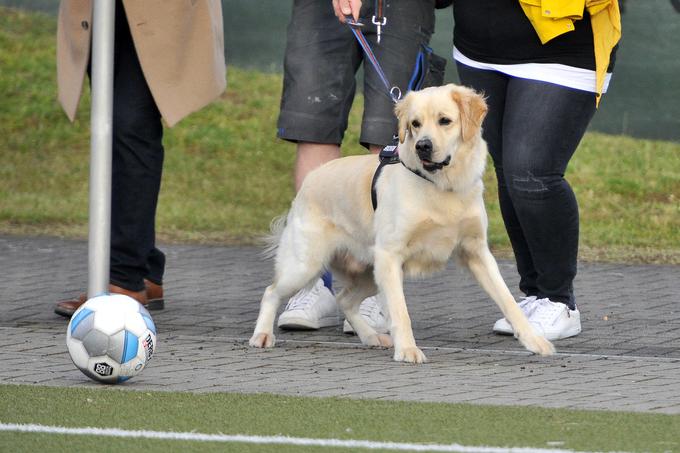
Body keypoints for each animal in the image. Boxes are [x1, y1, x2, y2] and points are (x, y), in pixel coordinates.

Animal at [247, 83, 556, 362]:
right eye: (415, 124)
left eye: (445, 120)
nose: (423, 146)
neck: (442, 186)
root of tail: (310, 179)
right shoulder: (390, 255)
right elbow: (400, 310)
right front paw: (407, 350)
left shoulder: (476, 252)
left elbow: (508, 301)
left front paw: (535, 341)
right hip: (307, 264)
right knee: (271, 292)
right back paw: (262, 335)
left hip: (369, 273)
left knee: (344, 299)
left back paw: (371, 337)